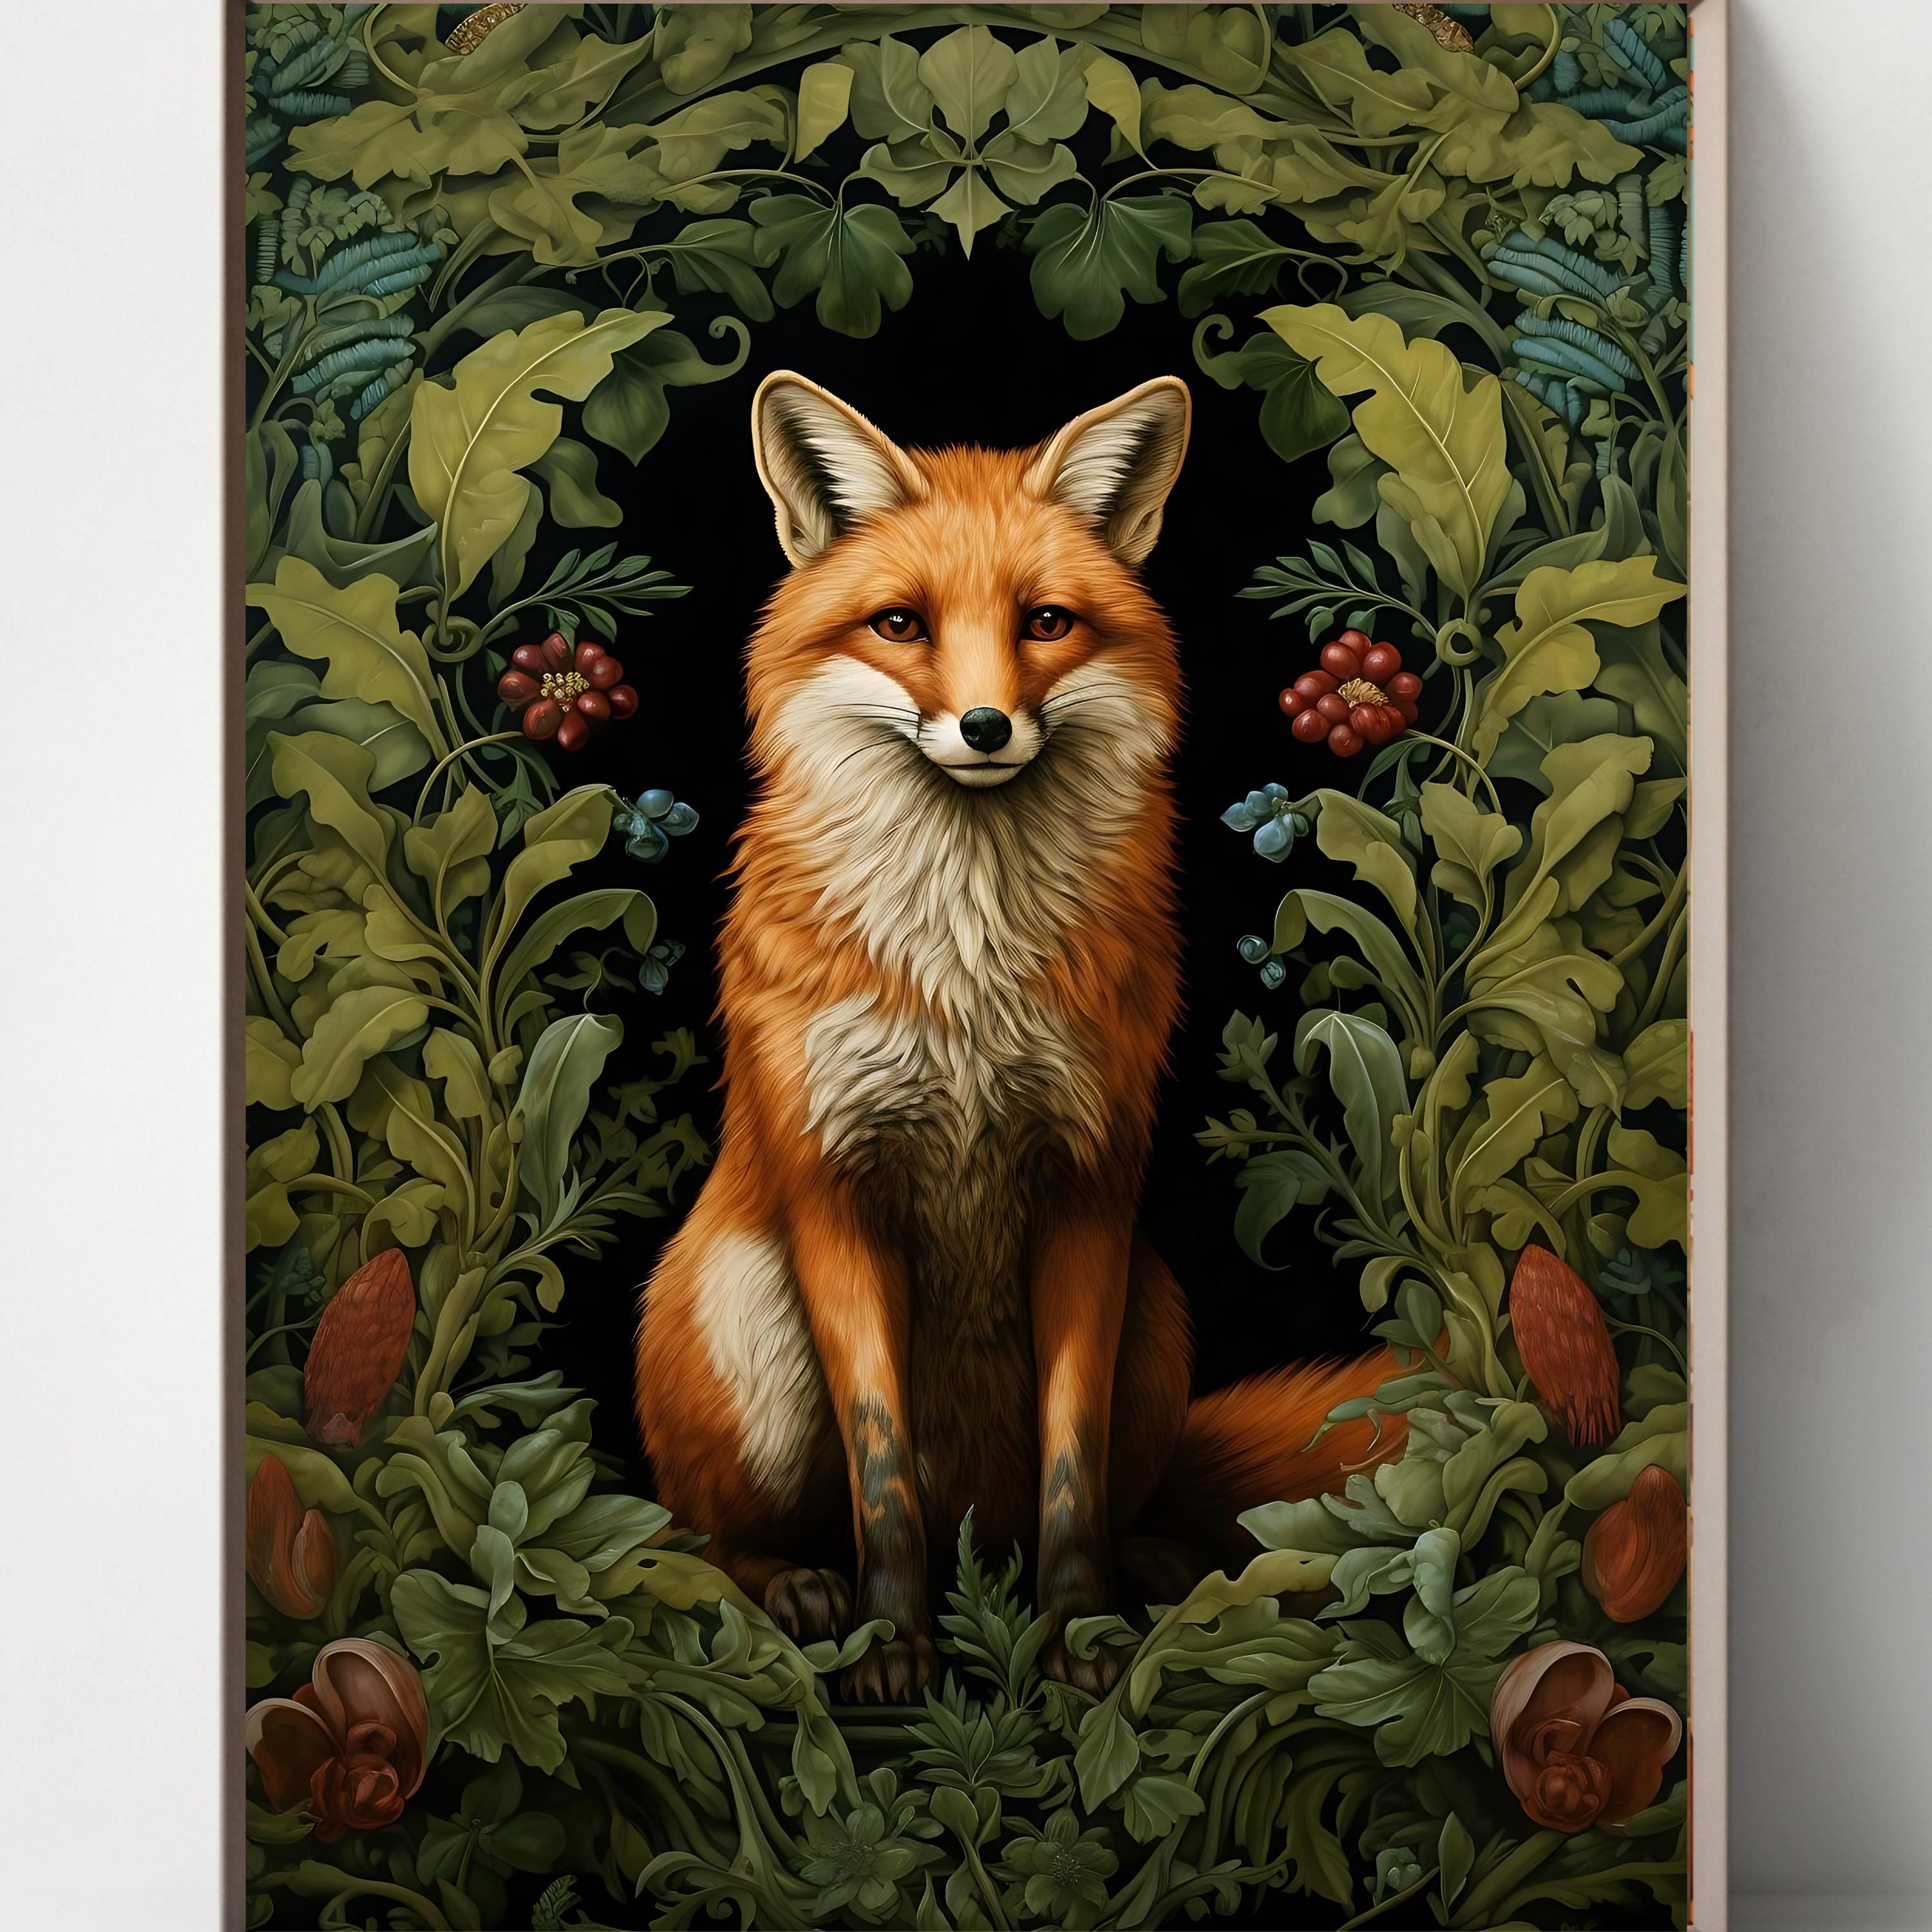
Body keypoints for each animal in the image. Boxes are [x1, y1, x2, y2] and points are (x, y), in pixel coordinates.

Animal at [634, 369, 1402, 1701]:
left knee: (1112, 1504)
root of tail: (974, 1532)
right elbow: (881, 1473)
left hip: (1156, 1312)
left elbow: (1071, 1468)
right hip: (742, 1313)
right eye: (900, 624)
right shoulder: (838, 1187)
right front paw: (894, 1642)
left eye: (1046, 622)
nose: (987, 726)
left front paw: (1080, 1636)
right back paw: (795, 1583)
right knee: (704, 1533)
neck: (965, 974)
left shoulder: (1087, 1187)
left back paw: (1154, 1570)